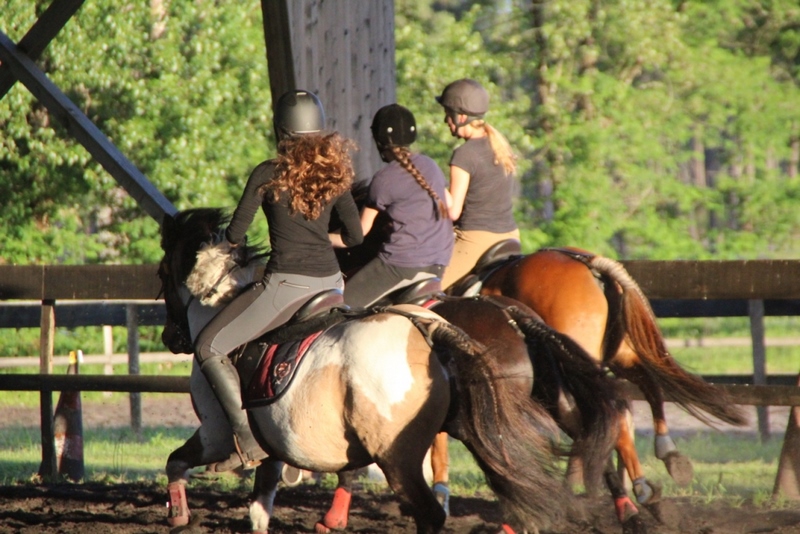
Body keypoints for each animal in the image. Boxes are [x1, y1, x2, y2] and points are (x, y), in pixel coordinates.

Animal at [158, 210, 576, 534]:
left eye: (162, 272)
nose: (169, 337)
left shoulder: (216, 433)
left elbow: (176, 461)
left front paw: (178, 515)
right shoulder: (275, 442)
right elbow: (261, 506)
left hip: (401, 456)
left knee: (434, 512)